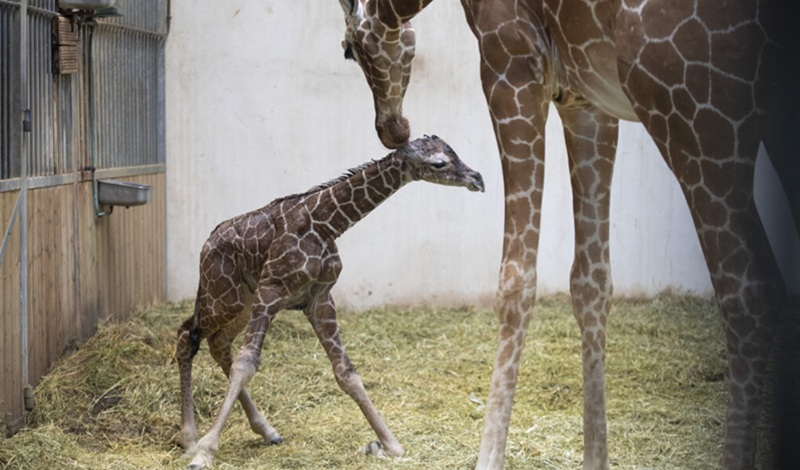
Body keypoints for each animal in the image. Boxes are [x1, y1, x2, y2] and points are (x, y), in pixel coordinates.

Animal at [175, 135, 484, 469]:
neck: (325, 224)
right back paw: (190, 439)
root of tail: (205, 247)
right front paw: (205, 452)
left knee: (218, 343)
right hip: (224, 297)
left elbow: (346, 372)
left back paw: (266, 431)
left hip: (242, 302)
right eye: (439, 163)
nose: (477, 179)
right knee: (186, 335)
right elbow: (246, 363)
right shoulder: (272, 289)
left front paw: (391, 444)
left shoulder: (319, 298)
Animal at [336, 0, 796, 468]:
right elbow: (591, 283)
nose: (391, 129)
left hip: (689, 108)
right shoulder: (587, 101)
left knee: (750, 292)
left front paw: (489, 456)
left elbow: (515, 281)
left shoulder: (510, 65)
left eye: (348, 52)